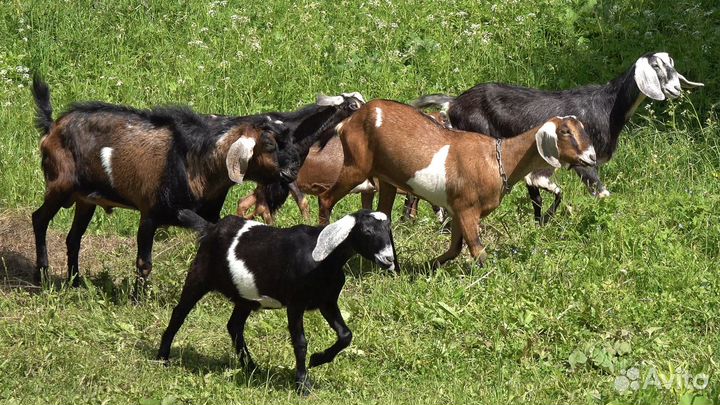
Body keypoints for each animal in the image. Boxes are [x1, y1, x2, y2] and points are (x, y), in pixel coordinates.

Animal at [30, 75, 362, 294]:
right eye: (267, 144)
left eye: (287, 141)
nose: (291, 172)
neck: (199, 160)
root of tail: (52, 126)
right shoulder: (153, 211)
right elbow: (145, 260)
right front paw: (139, 299)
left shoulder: (209, 209)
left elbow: (211, 232)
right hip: (59, 186)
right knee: (39, 219)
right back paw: (42, 276)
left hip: (85, 199)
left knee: (73, 237)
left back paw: (75, 281)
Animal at [157, 209, 398, 395]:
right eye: (367, 232)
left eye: (388, 231)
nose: (388, 260)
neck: (324, 260)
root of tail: (211, 228)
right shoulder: (296, 303)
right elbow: (300, 342)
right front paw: (303, 384)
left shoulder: (327, 301)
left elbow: (345, 335)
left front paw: (317, 359)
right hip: (199, 275)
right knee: (179, 313)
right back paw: (162, 358)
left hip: (245, 296)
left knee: (234, 325)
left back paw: (251, 367)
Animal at [318, 100, 596, 267]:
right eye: (565, 132)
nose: (592, 157)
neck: (500, 159)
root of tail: (351, 121)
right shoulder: (466, 208)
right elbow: (477, 250)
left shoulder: (456, 210)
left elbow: (455, 248)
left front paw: (426, 267)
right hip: (356, 165)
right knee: (326, 198)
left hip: (386, 179)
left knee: (382, 214)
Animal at [413, 52, 703, 224]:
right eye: (656, 67)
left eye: (672, 66)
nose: (676, 89)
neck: (608, 106)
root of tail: (453, 103)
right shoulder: (583, 161)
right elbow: (601, 192)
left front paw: (541, 223)